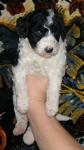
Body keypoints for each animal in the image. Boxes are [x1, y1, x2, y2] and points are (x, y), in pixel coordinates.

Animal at [12, 8, 66, 144]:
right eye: (38, 32)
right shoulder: (19, 67)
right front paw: (23, 105)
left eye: (55, 31)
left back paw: (29, 136)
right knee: (21, 116)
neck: (40, 58)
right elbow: (21, 86)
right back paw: (20, 128)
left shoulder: (56, 69)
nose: (49, 49)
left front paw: (51, 108)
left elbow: (53, 88)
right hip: (13, 99)